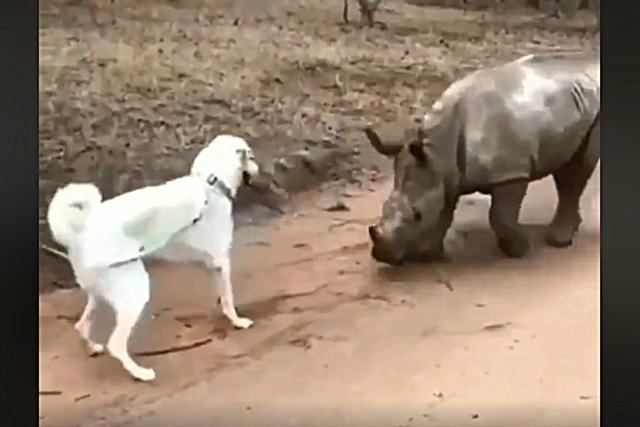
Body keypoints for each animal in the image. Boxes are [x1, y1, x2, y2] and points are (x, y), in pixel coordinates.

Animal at [45, 135, 260, 382]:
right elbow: (228, 299)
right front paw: (237, 321)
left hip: (100, 293)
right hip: (134, 292)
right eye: (251, 156)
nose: (258, 169)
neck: (211, 185)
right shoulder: (221, 261)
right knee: (115, 344)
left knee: (81, 325)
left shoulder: (212, 265)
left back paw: (93, 347)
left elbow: (222, 296)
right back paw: (140, 372)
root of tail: (78, 233)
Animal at [364, 52, 600, 266]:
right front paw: (430, 255)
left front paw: (519, 250)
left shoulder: (510, 172)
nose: (382, 256)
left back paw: (558, 241)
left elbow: (499, 215)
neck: (438, 149)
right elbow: (444, 212)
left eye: (417, 215)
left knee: (579, 168)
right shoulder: (444, 173)